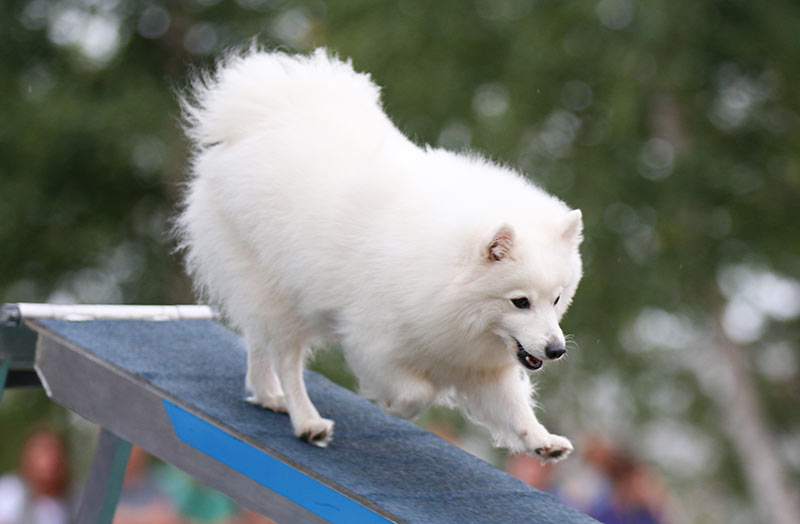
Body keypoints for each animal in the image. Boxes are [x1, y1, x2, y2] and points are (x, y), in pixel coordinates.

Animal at [178, 48, 584, 458]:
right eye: (520, 302)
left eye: (556, 300)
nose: (556, 350)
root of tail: (256, 117)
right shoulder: (374, 342)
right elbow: (418, 392)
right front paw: (393, 406)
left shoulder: (480, 365)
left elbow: (514, 407)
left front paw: (542, 440)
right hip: (277, 292)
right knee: (285, 358)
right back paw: (306, 419)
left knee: (259, 341)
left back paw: (267, 395)